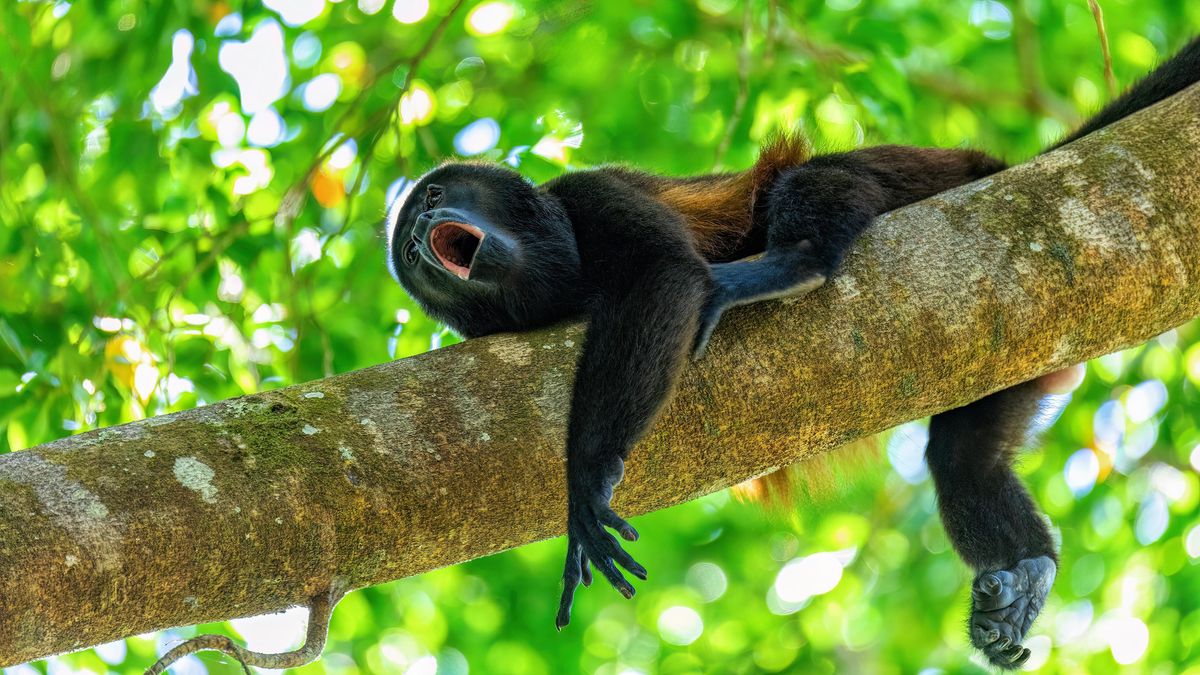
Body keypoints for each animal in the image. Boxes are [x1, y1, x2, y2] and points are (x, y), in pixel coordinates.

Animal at [386, 38, 1200, 667]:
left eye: (435, 195)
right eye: (410, 242)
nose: (420, 224)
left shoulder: (588, 193)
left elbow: (661, 272)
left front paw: (587, 478)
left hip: (939, 173)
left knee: (816, 178)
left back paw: (790, 263)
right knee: (963, 460)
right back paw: (1026, 570)